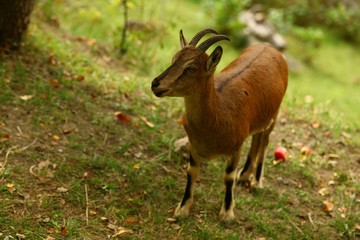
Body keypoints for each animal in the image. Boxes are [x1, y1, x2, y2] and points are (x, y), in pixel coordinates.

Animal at [150, 28, 288, 221]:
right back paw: (244, 176)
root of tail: (271, 48)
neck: (218, 114)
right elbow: (192, 171)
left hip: (274, 115)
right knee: (256, 137)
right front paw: (182, 209)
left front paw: (227, 213)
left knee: (264, 140)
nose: (155, 84)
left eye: (191, 68)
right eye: (174, 59)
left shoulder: (236, 148)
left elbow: (228, 177)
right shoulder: (194, 145)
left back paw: (257, 181)